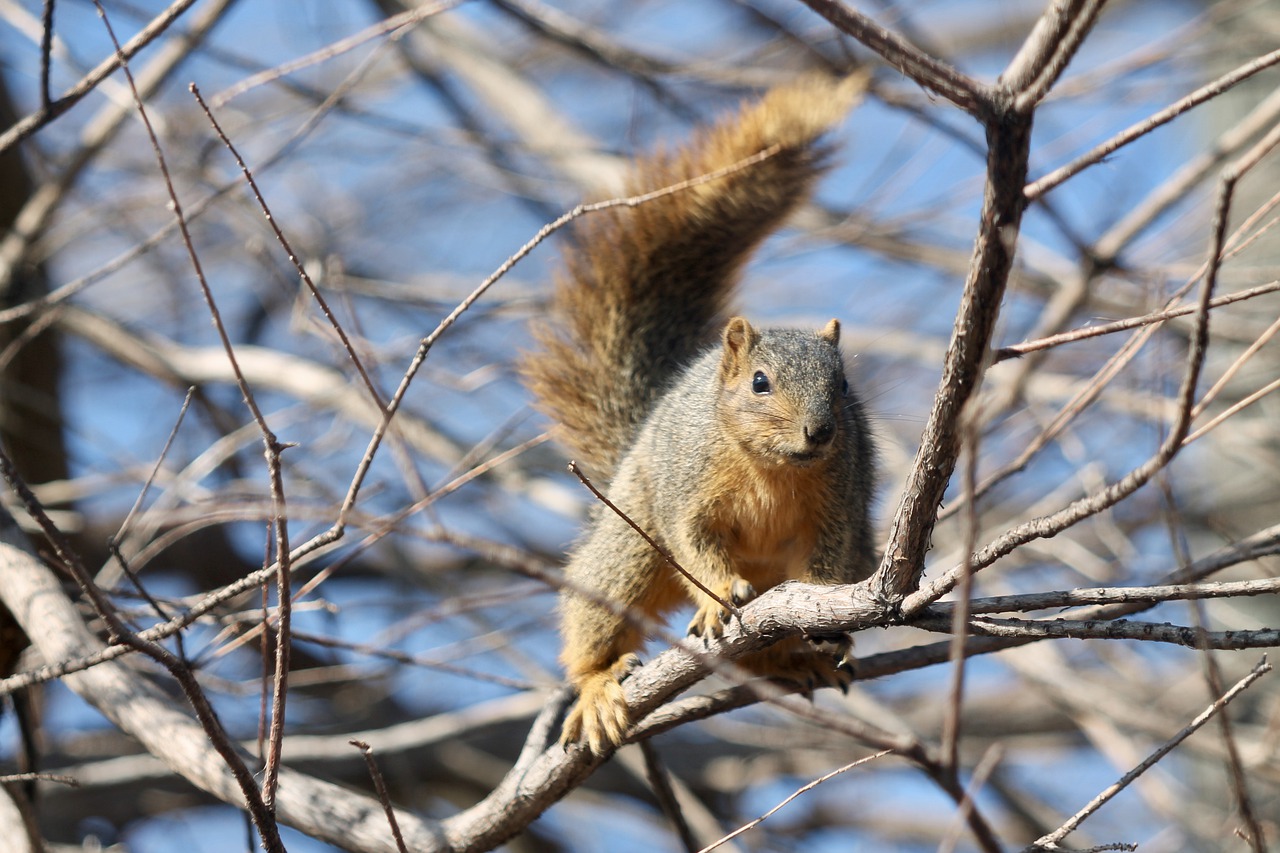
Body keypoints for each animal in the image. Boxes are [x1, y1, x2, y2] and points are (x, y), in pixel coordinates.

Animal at [524, 74, 875, 753]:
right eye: (760, 383)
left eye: (843, 385)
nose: (819, 432)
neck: (773, 469)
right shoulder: (688, 491)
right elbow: (694, 542)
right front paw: (716, 599)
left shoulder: (840, 504)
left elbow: (825, 560)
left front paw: (820, 603)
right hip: (626, 548)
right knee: (595, 624)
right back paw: (598, 689)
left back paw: (800, 656)